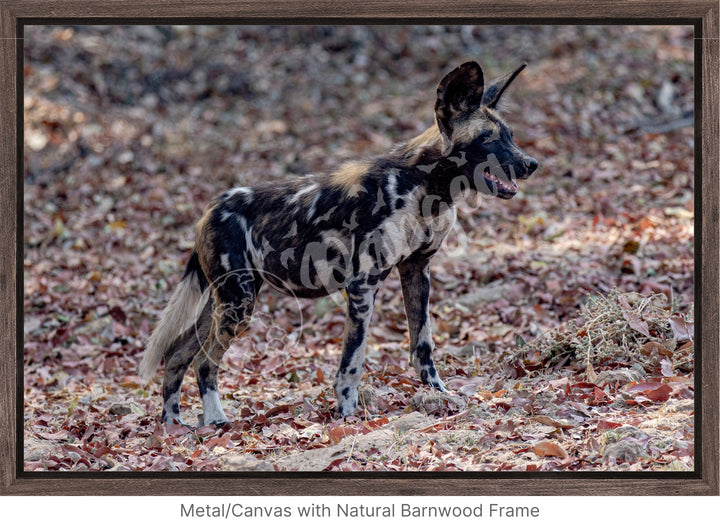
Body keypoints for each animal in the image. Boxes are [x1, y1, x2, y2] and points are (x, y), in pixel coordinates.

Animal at [138, 61, 536, 424]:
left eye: (510, 135)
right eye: (487, 138)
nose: (531, 164)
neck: (426, 187)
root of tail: (208, 210)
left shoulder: (416, 271)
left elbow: (422, 346)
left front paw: (440, 395)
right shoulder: (362, 286)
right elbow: (352, 362)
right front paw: (347, 416)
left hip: (226, 301)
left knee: (178, 354)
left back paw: (174, 425)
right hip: (239, 305)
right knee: (205, 361)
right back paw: (216, 421)